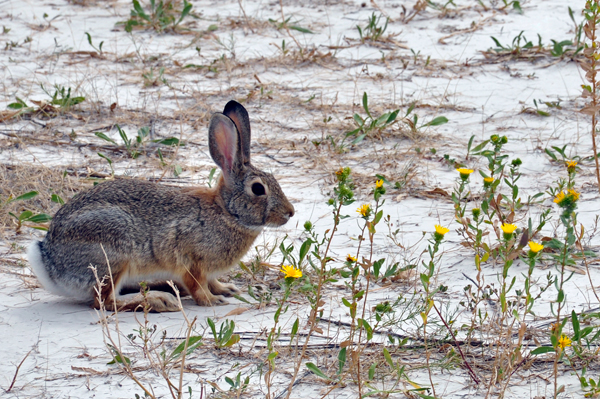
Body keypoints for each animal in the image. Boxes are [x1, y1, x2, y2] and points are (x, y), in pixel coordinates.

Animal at [28, 100, 296, 312]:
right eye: (258, 189)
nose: (290, 213)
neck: (227, 213)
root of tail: (49, 259)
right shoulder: (191, 261)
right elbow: (198, 286)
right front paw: (212, 300)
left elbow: (212, 282)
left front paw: (225, 289)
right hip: (113, 253)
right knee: (104, 302)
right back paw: (159, 301)